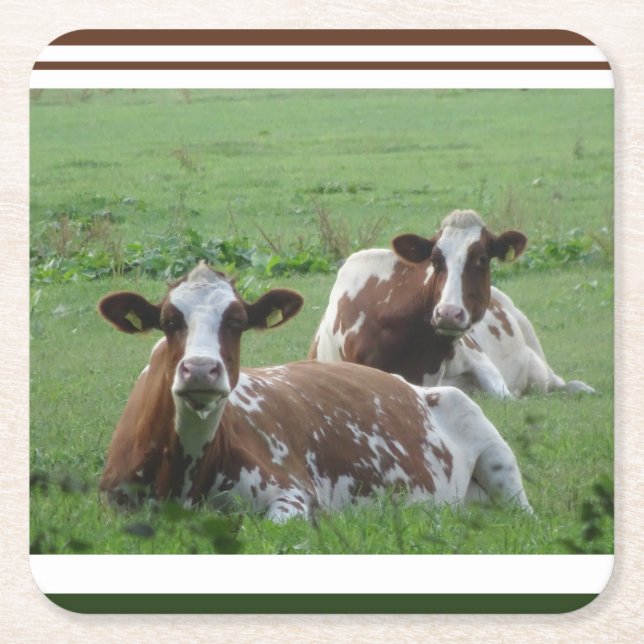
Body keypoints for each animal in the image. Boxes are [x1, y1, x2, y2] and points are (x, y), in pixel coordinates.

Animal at [98, 261, 532, 521]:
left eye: (236, 322)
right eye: (169, 321)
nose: (202, 369)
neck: (180, 474)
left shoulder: (293, 494)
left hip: (491, 447)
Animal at [309, 209, 594, 399]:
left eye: (482, 259)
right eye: (435, 261)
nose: (448, 313)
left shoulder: (478, 357)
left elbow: (505, 396)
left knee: (554, 380)